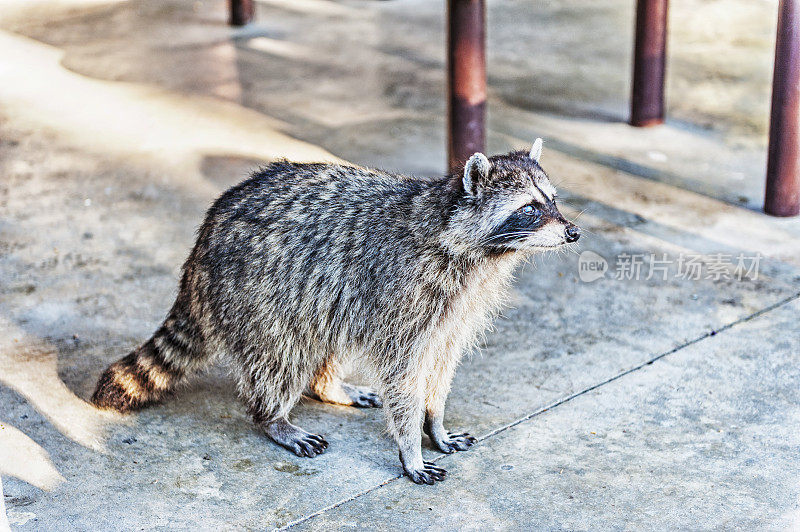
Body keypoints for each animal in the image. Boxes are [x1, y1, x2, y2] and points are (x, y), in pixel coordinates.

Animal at [94, 139, 580, 484]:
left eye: (553, 200)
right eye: (530, 208)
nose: (573, 232)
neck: (476, 249)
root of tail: (202, 244)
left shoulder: (458, 307)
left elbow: (442, 364)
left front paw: (436, 422)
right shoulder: (403, 295)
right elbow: (403, 374)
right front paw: (410, 445)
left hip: (322, 296)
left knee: (327, 338)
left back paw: (327, 385)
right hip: (258, 291)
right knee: (279, 358)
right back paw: (273, 417)